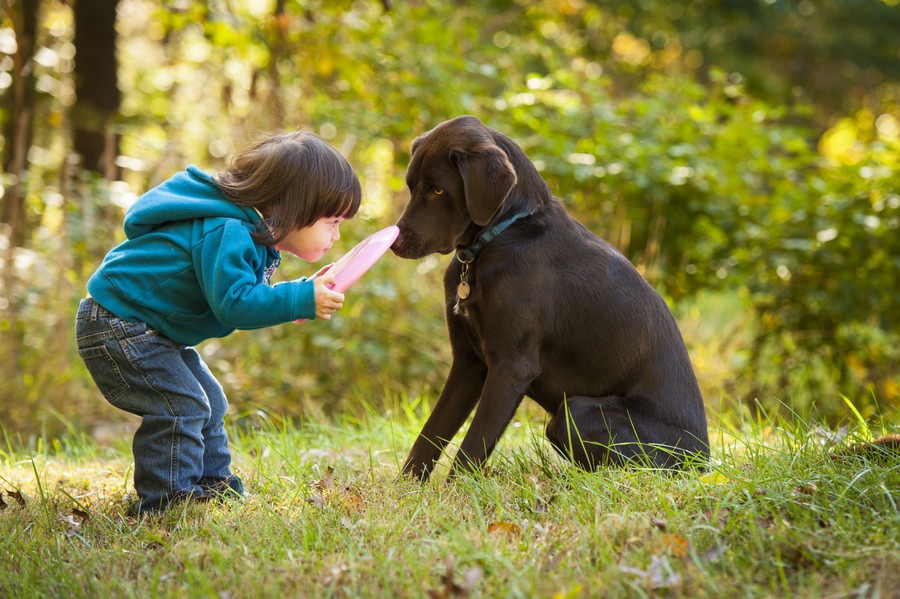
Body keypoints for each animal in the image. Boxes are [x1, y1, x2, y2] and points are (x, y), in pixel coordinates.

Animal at [394, 116, 712, 482]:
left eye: (438, 190)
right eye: (411, 186)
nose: (394, 244)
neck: (503, 234)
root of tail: (704, 461)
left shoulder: (511, 366)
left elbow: (472, 446)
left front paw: (454, 493)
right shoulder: (468, 362)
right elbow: (429, 435)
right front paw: (405, 491)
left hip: (577, 412)